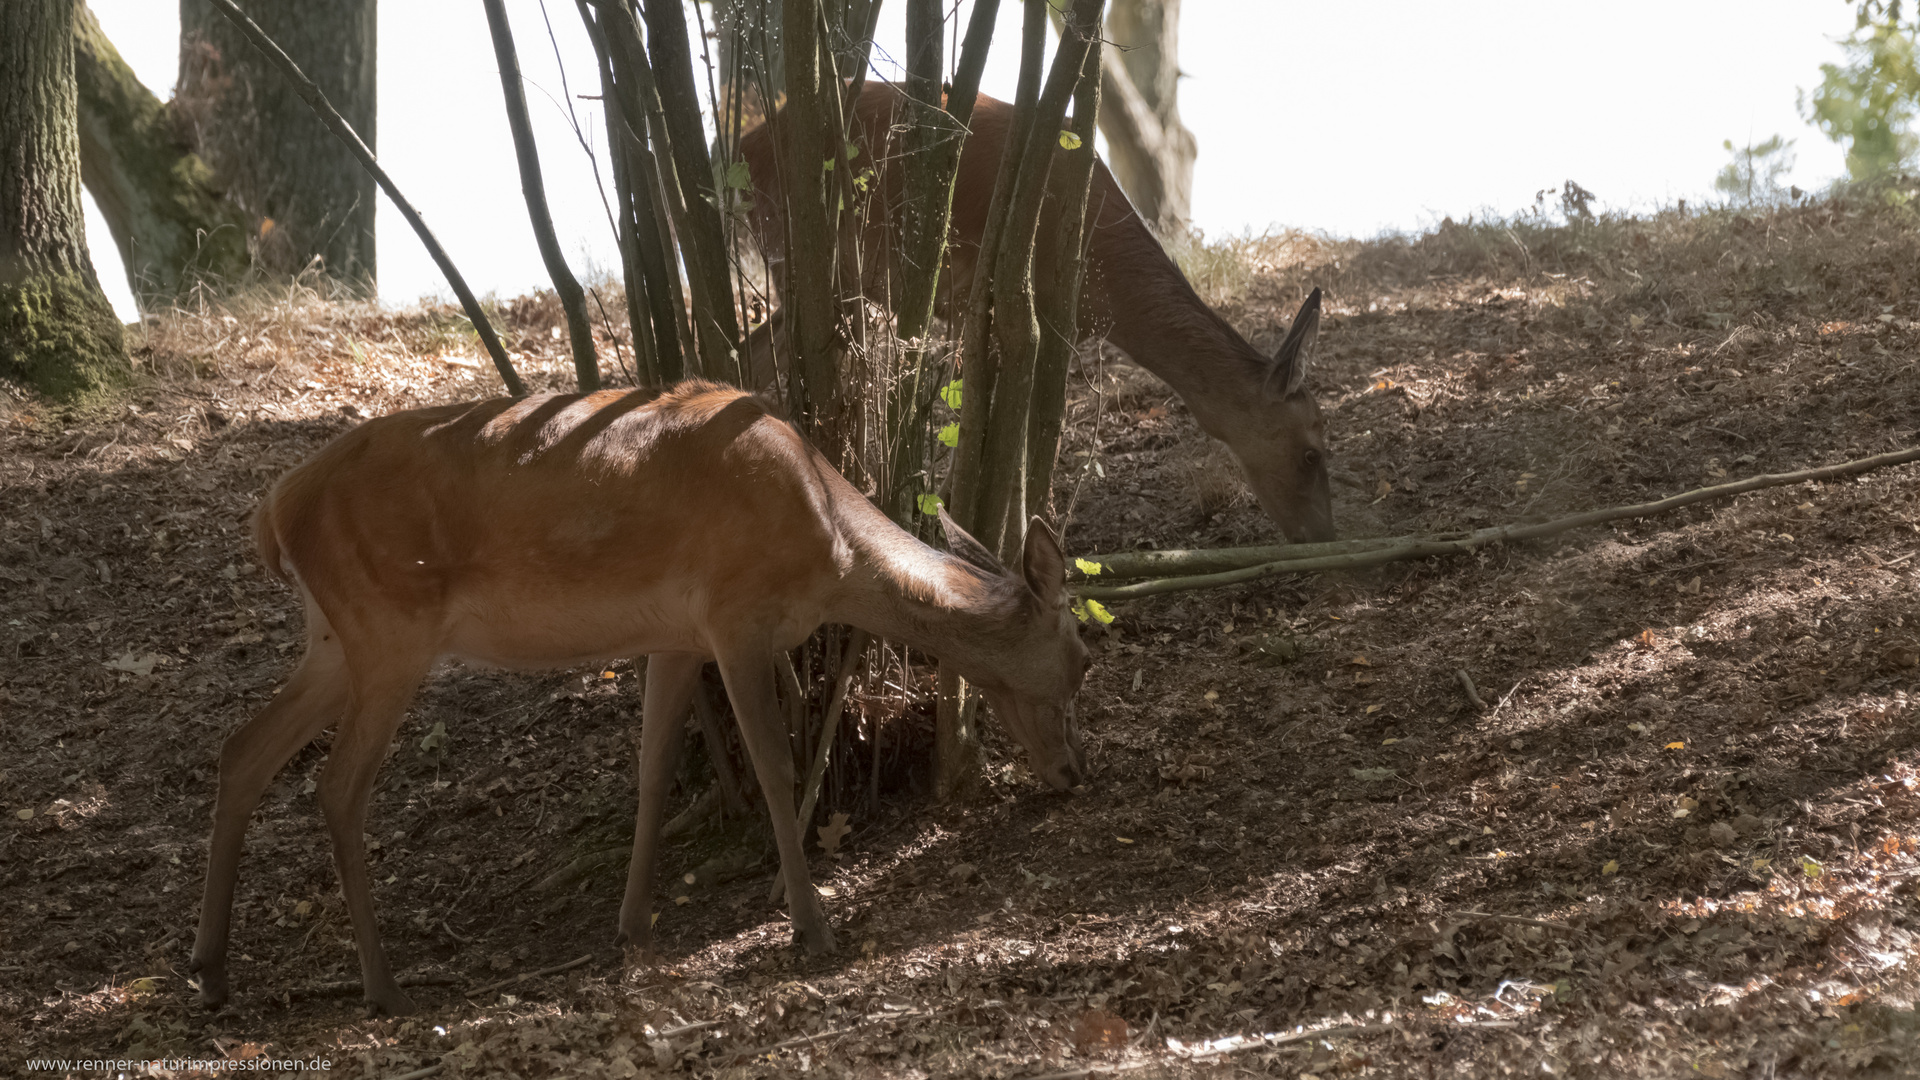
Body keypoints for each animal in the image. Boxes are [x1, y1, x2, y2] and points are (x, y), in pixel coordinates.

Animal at [198, 378, 1098, 1006]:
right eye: (1083, 657)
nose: (1073, 773)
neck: (831, 543)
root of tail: (273, 511)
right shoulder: (735, 615)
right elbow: (773, 766)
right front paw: (811, 925)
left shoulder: (675, 636)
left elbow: (653, 771)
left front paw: (633, 927)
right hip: (389, 629)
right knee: (336, 786)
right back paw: (381, 988)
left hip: (333, 641)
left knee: (241, 751)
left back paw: (210, 971)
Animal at [737, 79, 1336, 541]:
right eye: (1312, 453)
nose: (1323, 534)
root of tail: (743, 145)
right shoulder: (1010, 305)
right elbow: (1012, 422)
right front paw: (986, 530)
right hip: (819, 259)